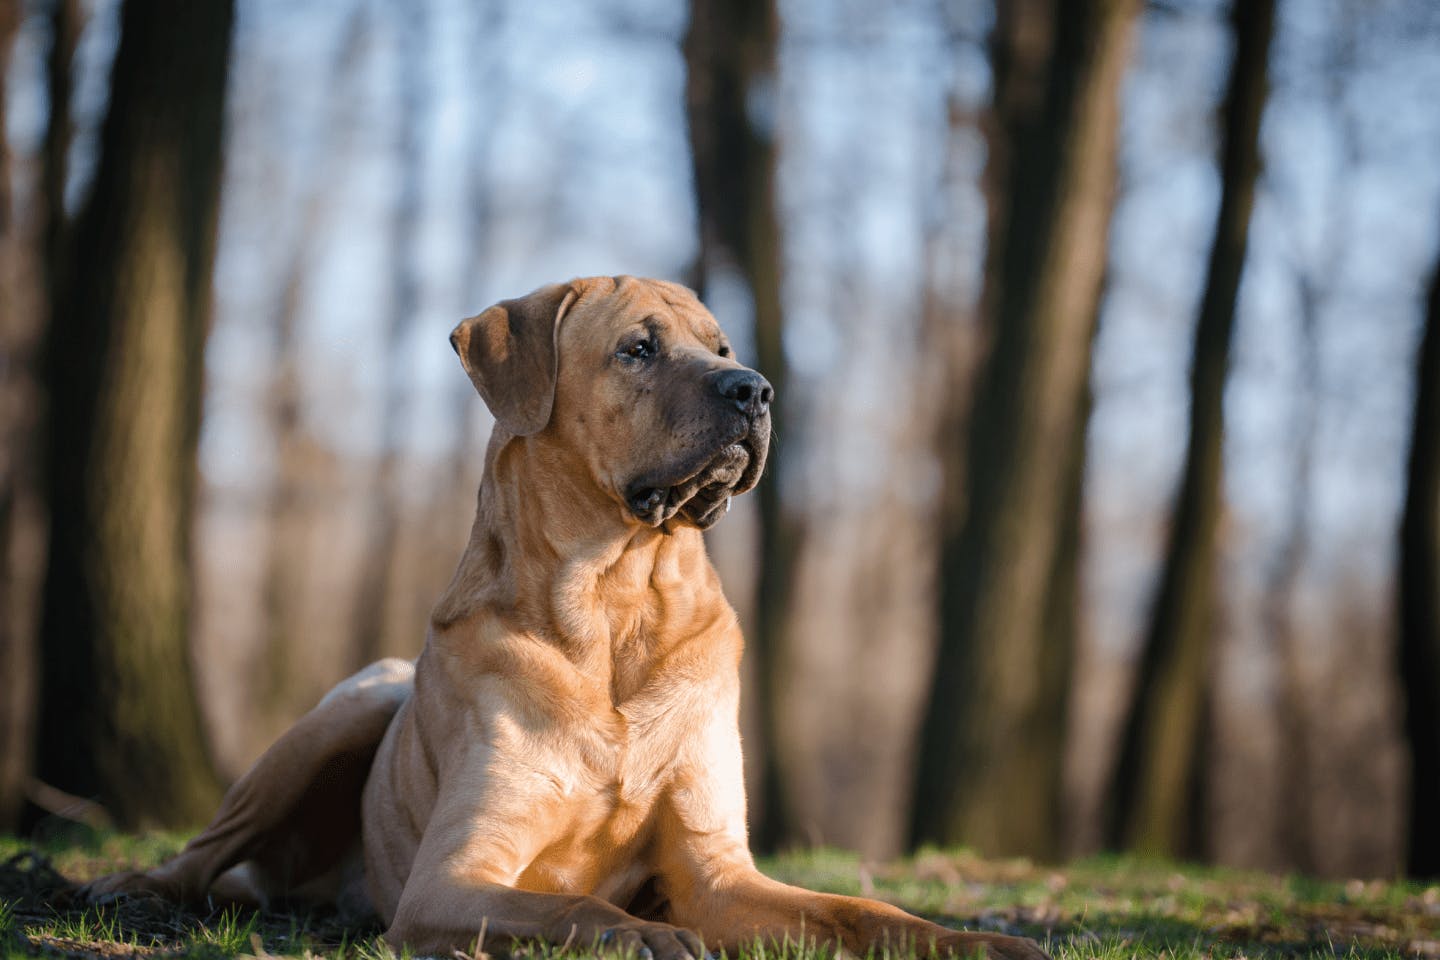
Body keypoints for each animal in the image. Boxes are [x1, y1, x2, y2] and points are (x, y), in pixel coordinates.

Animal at [81, 277, 1048, 960]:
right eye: (637, 349)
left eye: (722, 346)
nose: (756, 390)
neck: (618, 606)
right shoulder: (452, 878)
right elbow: (568, 905)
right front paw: (643, 934)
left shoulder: (717, 870)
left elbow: (858, 909)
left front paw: (972, 939)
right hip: (349, 708)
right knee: (203, 850)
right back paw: (124, 887)